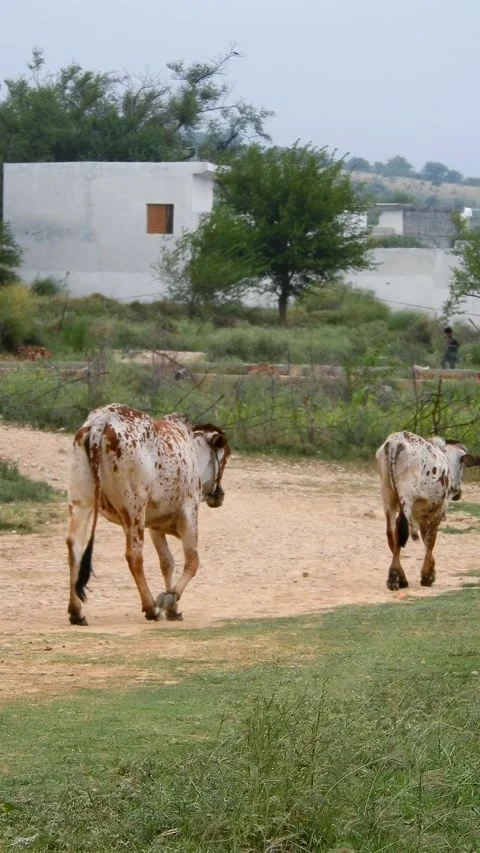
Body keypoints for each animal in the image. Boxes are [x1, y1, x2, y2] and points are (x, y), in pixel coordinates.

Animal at [66, 404, 230, 625]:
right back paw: (151, 608)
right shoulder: (189, 512)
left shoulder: (155, 526)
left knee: (74, 546)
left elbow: (167, 563)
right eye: (225, 456)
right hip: (134, 508)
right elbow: (192, 561)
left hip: (81, 502)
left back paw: (76, 611)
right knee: (134, 555)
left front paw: (174, 610)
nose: (219, 495)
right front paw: (170, 599)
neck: (192, 451)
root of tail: (102, 419)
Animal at [376, 430, 480, 591]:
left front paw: (430, 570)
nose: (458, 492)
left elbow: (425, 538)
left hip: (387, 496)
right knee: (399, 529)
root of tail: (396, 440)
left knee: (390, 533)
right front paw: (427, 575)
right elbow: (431, 539)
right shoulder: (439, 509)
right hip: (406, 497)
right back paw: (394, 577)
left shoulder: (422, 513)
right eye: (462, 466)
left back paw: (401, 576)